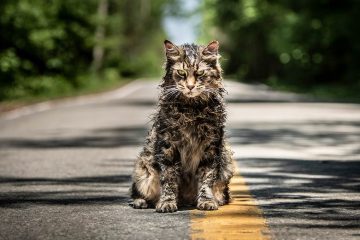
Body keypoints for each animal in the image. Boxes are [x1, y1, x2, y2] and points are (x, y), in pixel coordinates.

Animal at [131, 40, 235, 213]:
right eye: (181, 72)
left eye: (200, 73)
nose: (190, 86)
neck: (191, 110)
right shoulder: (168, 146)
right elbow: (169, 179)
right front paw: (167, 202)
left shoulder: (211, 146)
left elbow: (207, 178)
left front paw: (206, 201)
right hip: (143, 168)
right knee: (137, 192)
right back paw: (140, 202)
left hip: (226, 162)